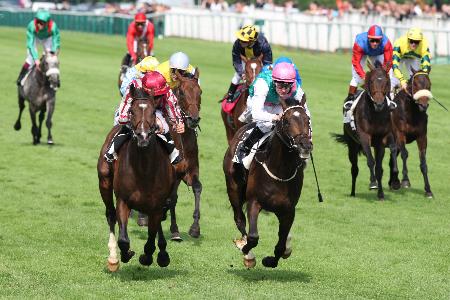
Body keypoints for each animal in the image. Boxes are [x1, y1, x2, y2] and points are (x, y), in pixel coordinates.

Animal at [96, 85, 176, 272]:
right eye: (131, 111)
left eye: (154, 112)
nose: (143, 136)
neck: (143, 169)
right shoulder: (123, 201)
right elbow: (124, 239)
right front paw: (125, 254)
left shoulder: (156, 205)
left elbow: (151, 237)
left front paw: (148, 256)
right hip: (104, 181)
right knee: (110, 214)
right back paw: (113, 257)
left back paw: (162, 254)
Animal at [222, 97, 312, 268]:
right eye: (286, 121)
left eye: (308, 120)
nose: (305, 145)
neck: (280, 171)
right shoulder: (254, 202)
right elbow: (253, 236)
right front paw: (247, 251)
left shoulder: (288, 210)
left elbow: (281, 244)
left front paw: (271, 259)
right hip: (233, 187)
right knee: (239, 219)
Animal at [332, 60, 396, 202]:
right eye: (371, 81)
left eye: (386, 82)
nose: (379, 104)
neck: (376, 114)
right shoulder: (364, 137)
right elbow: (371, 161)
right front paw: (373, 183)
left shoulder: (381, 140)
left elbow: (379, 168)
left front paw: (381, 194)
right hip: (352, 145)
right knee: (354, 169)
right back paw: (352, 193)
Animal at [388, 69, 434, 198]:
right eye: (415, 84)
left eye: (429, 85)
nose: (423, 105)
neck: (411, 112)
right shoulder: (400, 133)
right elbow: (405, 154)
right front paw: (405, 180)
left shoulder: (422, 136)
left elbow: (423, 162)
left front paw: (428, 190)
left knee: (392, 156)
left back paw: (393, 182)